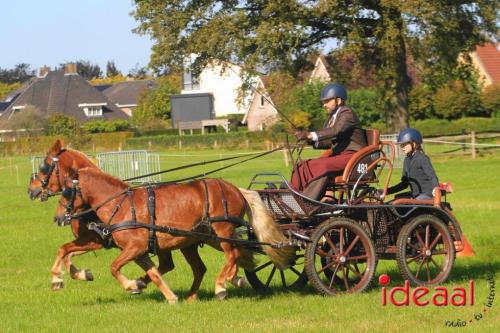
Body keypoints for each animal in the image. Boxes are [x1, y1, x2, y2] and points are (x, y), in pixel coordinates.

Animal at [54, 167, 292, 302]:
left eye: (66, 190)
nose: (57, 218)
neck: (119, 204)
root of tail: (236, 189)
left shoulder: (135, 247)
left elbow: (114, 267)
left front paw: (132, 285)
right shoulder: (126, 247)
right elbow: (65, 249)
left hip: (222, 231)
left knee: (232, 254)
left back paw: (221, 286)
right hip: (202, 238)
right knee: (226, 257)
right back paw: (211, 288)